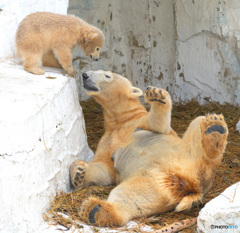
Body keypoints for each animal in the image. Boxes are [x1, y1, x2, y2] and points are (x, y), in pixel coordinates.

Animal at [70, 70, 229, 227]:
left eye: (107, 75)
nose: (85, 75)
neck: (120, 122)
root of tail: (188, 185)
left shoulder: (140, 122)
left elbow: (158, 124)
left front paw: (156, 95)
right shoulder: (108, 141)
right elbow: (105, 169)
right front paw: (78, 172)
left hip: (184, 154)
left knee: (198, 123)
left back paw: (214, 129)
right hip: (154, 186)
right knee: (128, 196)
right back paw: (94, 210)